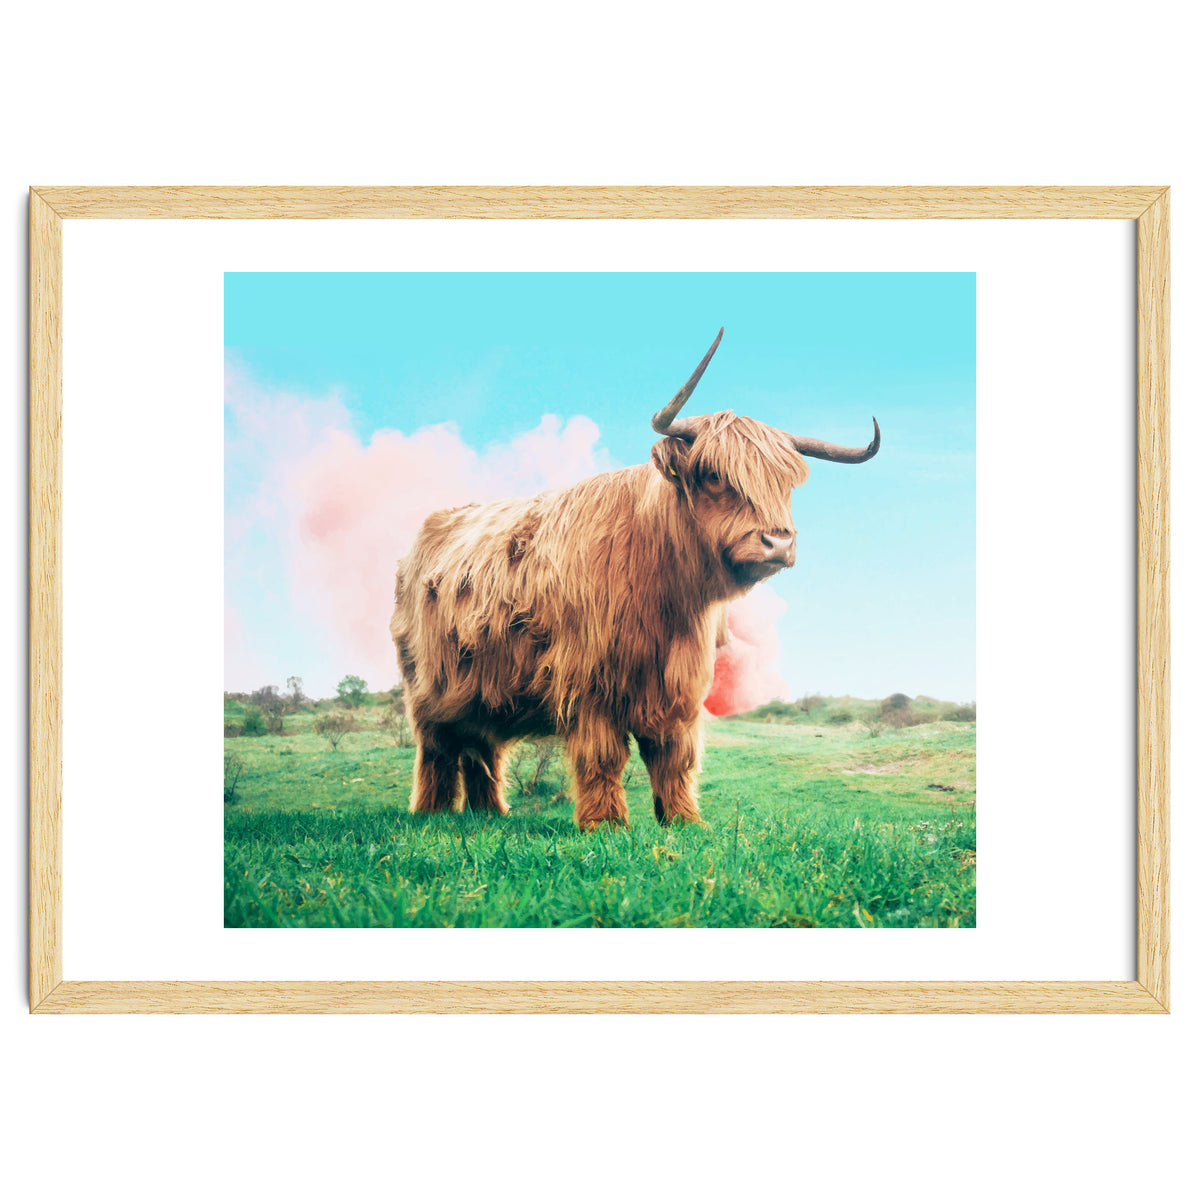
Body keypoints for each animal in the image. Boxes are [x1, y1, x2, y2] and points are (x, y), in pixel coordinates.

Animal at [389, 329, 880, 830]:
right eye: (714, 475)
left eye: (785, 484)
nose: (778, 542)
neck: (665, 594)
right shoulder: (589, 681)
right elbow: (603, 755)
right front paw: (605, 824)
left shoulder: (679, 685)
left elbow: (674, 756)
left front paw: (684, 820)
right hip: (428, 688)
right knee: (438, 748)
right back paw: (431, 812)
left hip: (481, 688)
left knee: (481, 747)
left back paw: (489, 813)